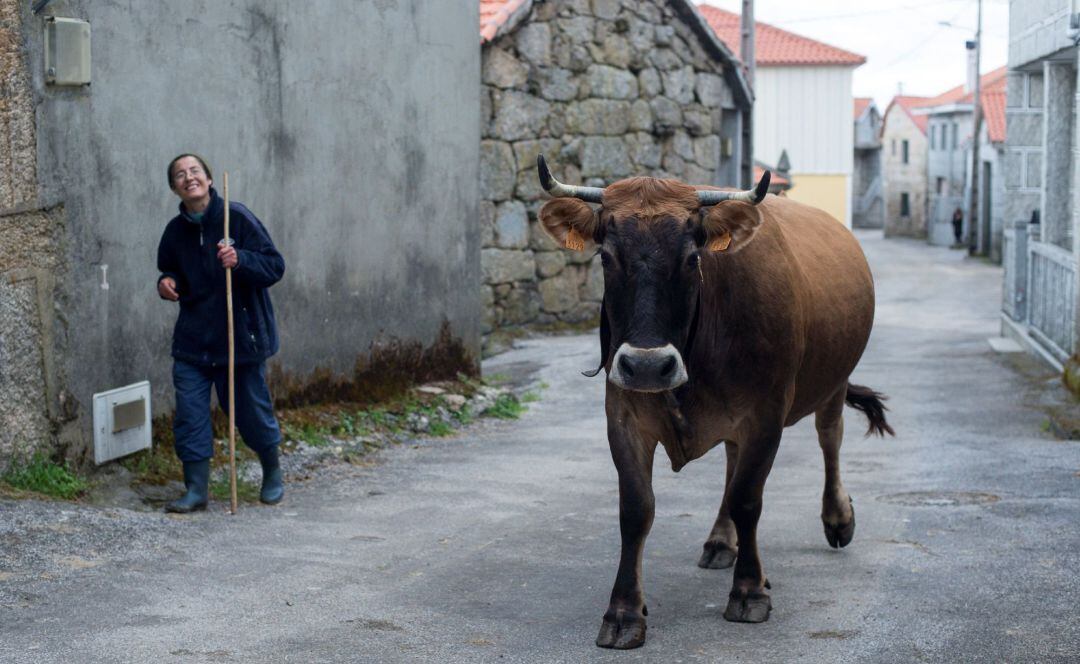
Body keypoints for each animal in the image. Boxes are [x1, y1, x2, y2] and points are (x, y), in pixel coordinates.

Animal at [533, 155, 894, 647]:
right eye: (605, 256)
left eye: (691, 258)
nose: (648, 366)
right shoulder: (623, 414)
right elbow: (636, 508)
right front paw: (623, 612)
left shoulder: (766, 415)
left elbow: (748, 499)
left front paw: (749, 591)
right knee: (732, 459)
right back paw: (722, 541)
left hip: (834, 382)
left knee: (830, 437)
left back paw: (837, 519)